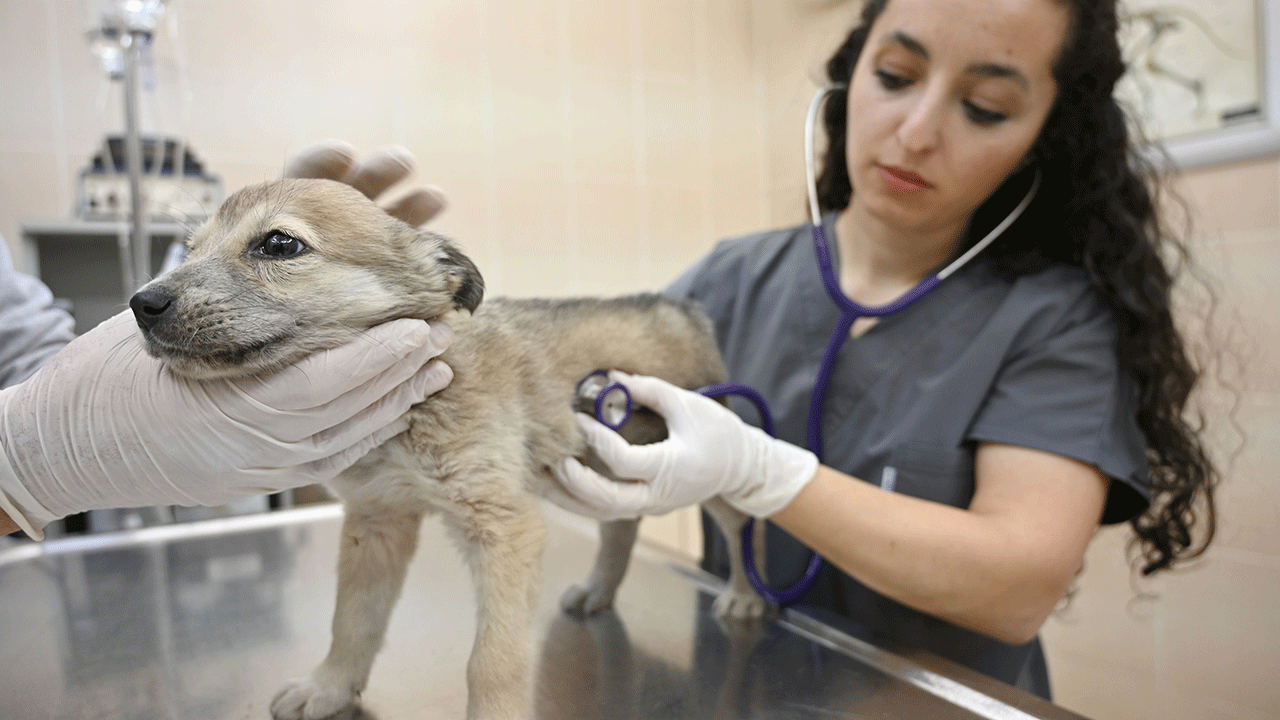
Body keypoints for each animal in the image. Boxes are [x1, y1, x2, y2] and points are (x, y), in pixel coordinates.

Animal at [131, 175, 768, 717]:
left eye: (279, 244)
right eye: (189, 249)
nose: (141, 304)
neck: (406, 417)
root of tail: (678, 308)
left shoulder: (505, 528)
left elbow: (493, 662)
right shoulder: (377, 521)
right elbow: (352, 620)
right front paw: (329, 687)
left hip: (701, 464)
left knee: (743, 523)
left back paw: (744, 595)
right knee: (622, 525)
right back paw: (597, 590)